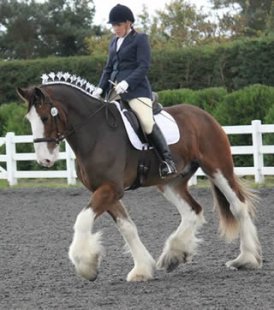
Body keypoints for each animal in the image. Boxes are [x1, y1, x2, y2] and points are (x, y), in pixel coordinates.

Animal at [17, 74, 262, 282]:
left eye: (45, 117)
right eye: (29, 120)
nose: (45, 160)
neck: (95, 133)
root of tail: (203, 114)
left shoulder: (111, 189)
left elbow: (83, 219)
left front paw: (86, 265)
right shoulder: (106, 190)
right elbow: (127, 227)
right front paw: (142, 269)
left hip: (217, 168)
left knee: (238, 206)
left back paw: (246, 259)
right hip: (171, 182)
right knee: (192, 210)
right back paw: (175, 254)